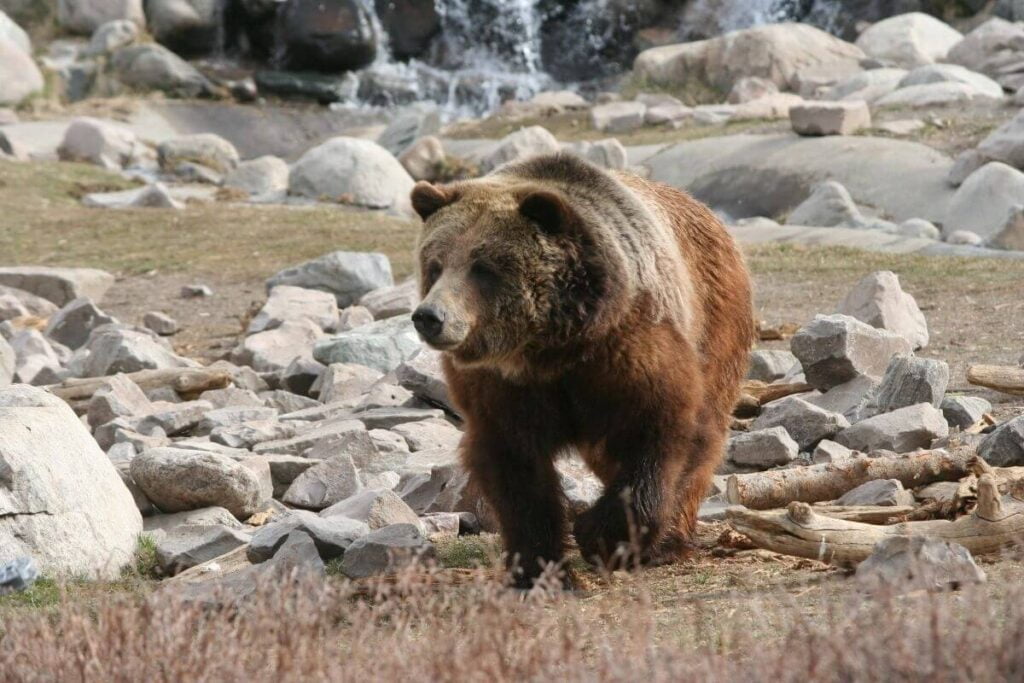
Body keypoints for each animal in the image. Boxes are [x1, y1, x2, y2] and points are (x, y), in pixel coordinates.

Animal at [411, 153, 757, 589]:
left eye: (483, 267)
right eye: (435, 265)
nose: (429, 316)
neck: (552, 350)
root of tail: (708, 214)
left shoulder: (628, 351)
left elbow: (660, 432)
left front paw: (603, 536)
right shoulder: (502, 388)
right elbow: (515, 469)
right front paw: (539, 567)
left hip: (715, 320)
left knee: (704, 432)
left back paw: (669, 540)